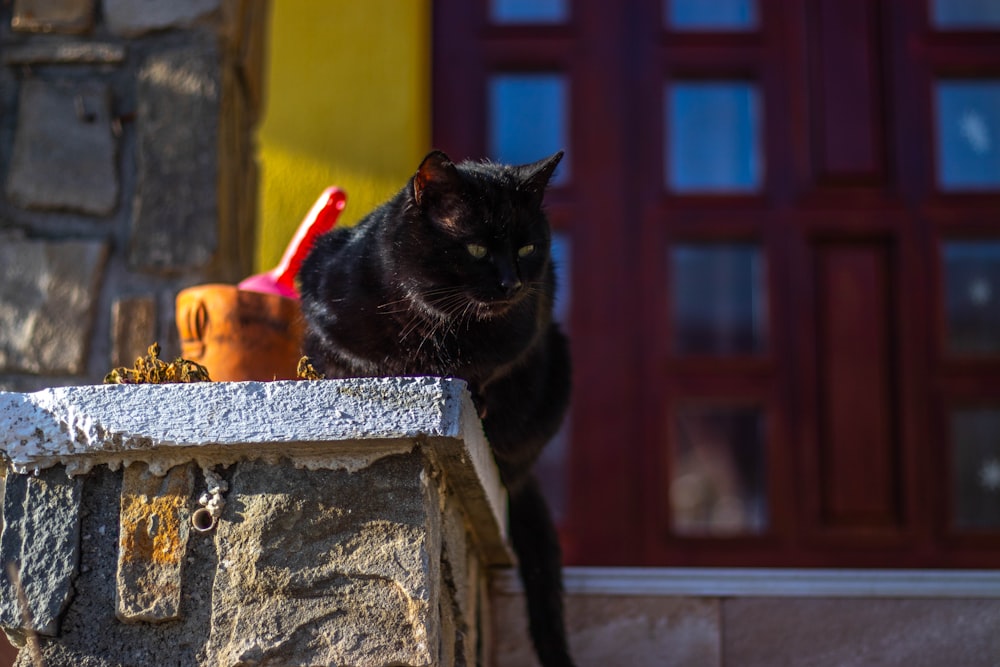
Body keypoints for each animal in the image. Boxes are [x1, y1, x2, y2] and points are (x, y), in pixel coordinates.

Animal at [296, 151, 576, 667]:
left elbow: (488, 367)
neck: (441, 323)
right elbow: (362, 360)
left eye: (528, 248)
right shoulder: (322, 300)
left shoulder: (530, 320)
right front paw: (397, 370)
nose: (511, 282)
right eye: (477, 250)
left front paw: (473, 392)